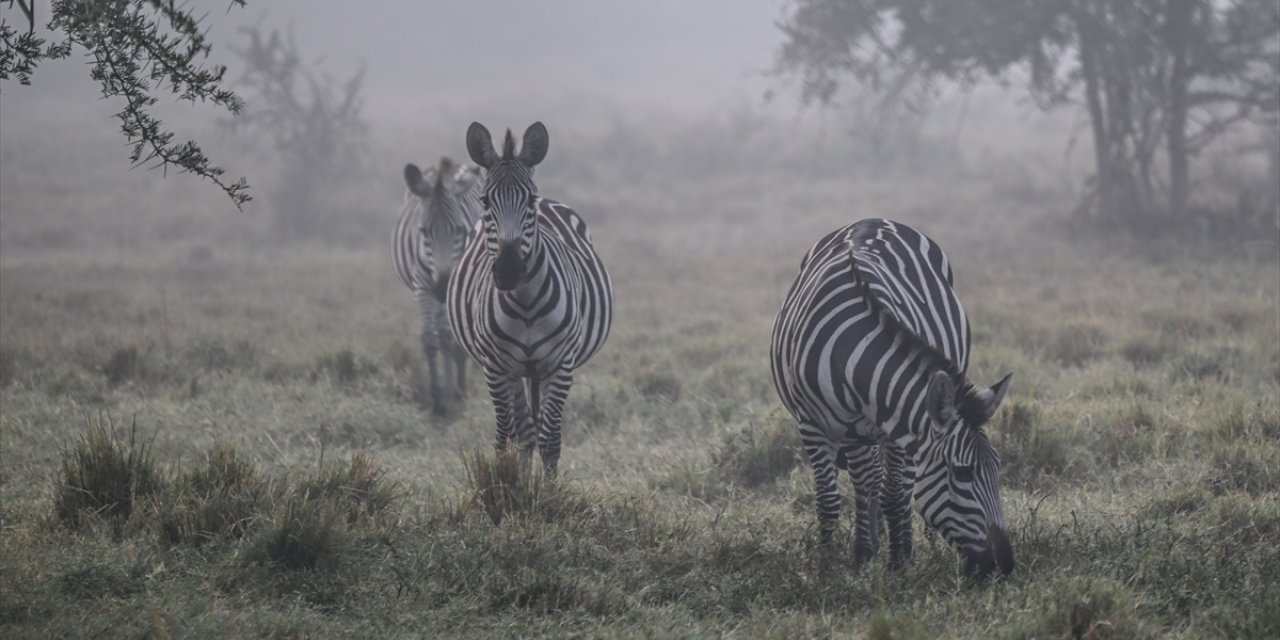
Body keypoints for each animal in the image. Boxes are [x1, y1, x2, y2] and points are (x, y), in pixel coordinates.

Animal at [386, 154, 481, 414]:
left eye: (459, 229)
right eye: (423, 231)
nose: (442, 286)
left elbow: (459, 337)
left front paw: (461, 392)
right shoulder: (423, 285)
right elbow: (430, 339)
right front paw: (438, 398)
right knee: (443, 335)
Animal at [448, 122, 611, 478]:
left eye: (530, 201)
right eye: (485, 200)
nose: (509, 271)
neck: (526, 305)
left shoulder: (561, 364)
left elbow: (551, 442)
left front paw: (547, 493)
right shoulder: (495, 367)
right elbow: (504, 439)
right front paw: (509, 487)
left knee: (533, 432)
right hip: (515, 371)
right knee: (522, 432)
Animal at [768, 218, 1018, 581]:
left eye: (997, 467)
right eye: (962, 473)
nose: (1005, 565)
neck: (855, 352)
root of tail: (872, 220)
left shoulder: (897, 426)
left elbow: (896, 495)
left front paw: (899, 560)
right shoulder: (812, 424)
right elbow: (830, 499)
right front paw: (831, 563)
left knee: (891, 484)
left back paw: (905, 545)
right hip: (856, 431)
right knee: (867, 480)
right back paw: (869, 545)